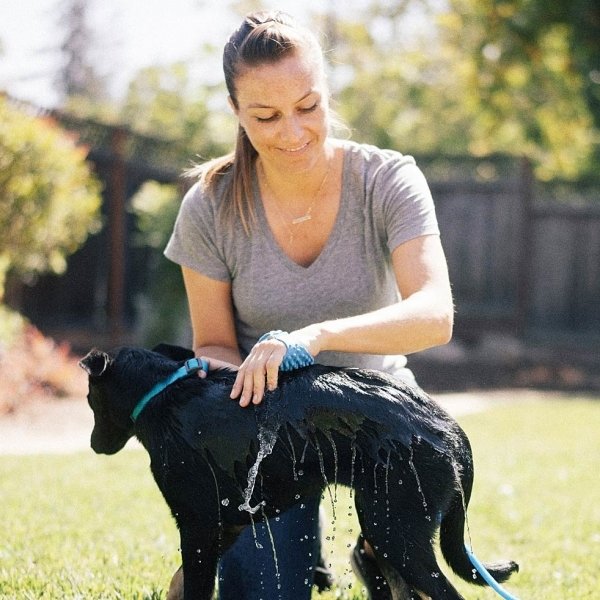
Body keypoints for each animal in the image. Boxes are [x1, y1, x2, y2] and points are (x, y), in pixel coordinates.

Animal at [81, 342, 520, 600]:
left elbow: (194, 585)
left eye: (88, 398)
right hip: (388, 527)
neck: (165, 393)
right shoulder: (227, 526)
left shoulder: (198, 526)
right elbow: (179, 581)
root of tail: (450, 428)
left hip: (396, 531)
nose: (93, 446)